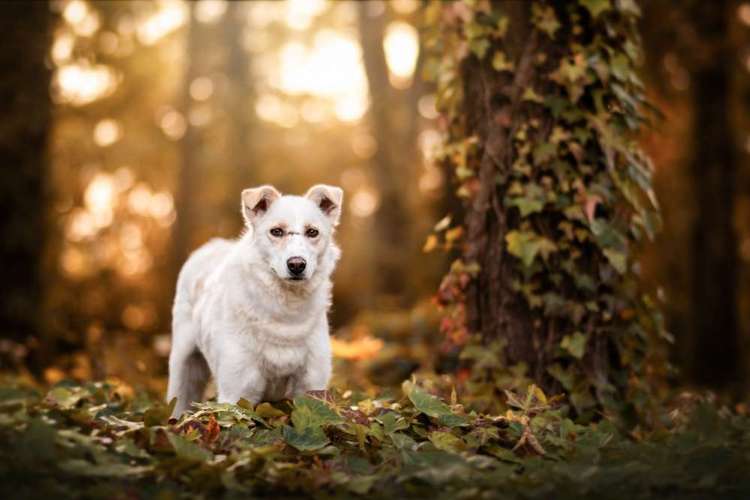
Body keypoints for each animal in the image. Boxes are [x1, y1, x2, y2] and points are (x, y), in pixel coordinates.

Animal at [167, 184, 344, 414]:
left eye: (312, 232)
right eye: (276, 231)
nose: (297, 265)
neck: (286, 311)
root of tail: (211, 246)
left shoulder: (312, 386)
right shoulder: (236, 393)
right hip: (183, 366)